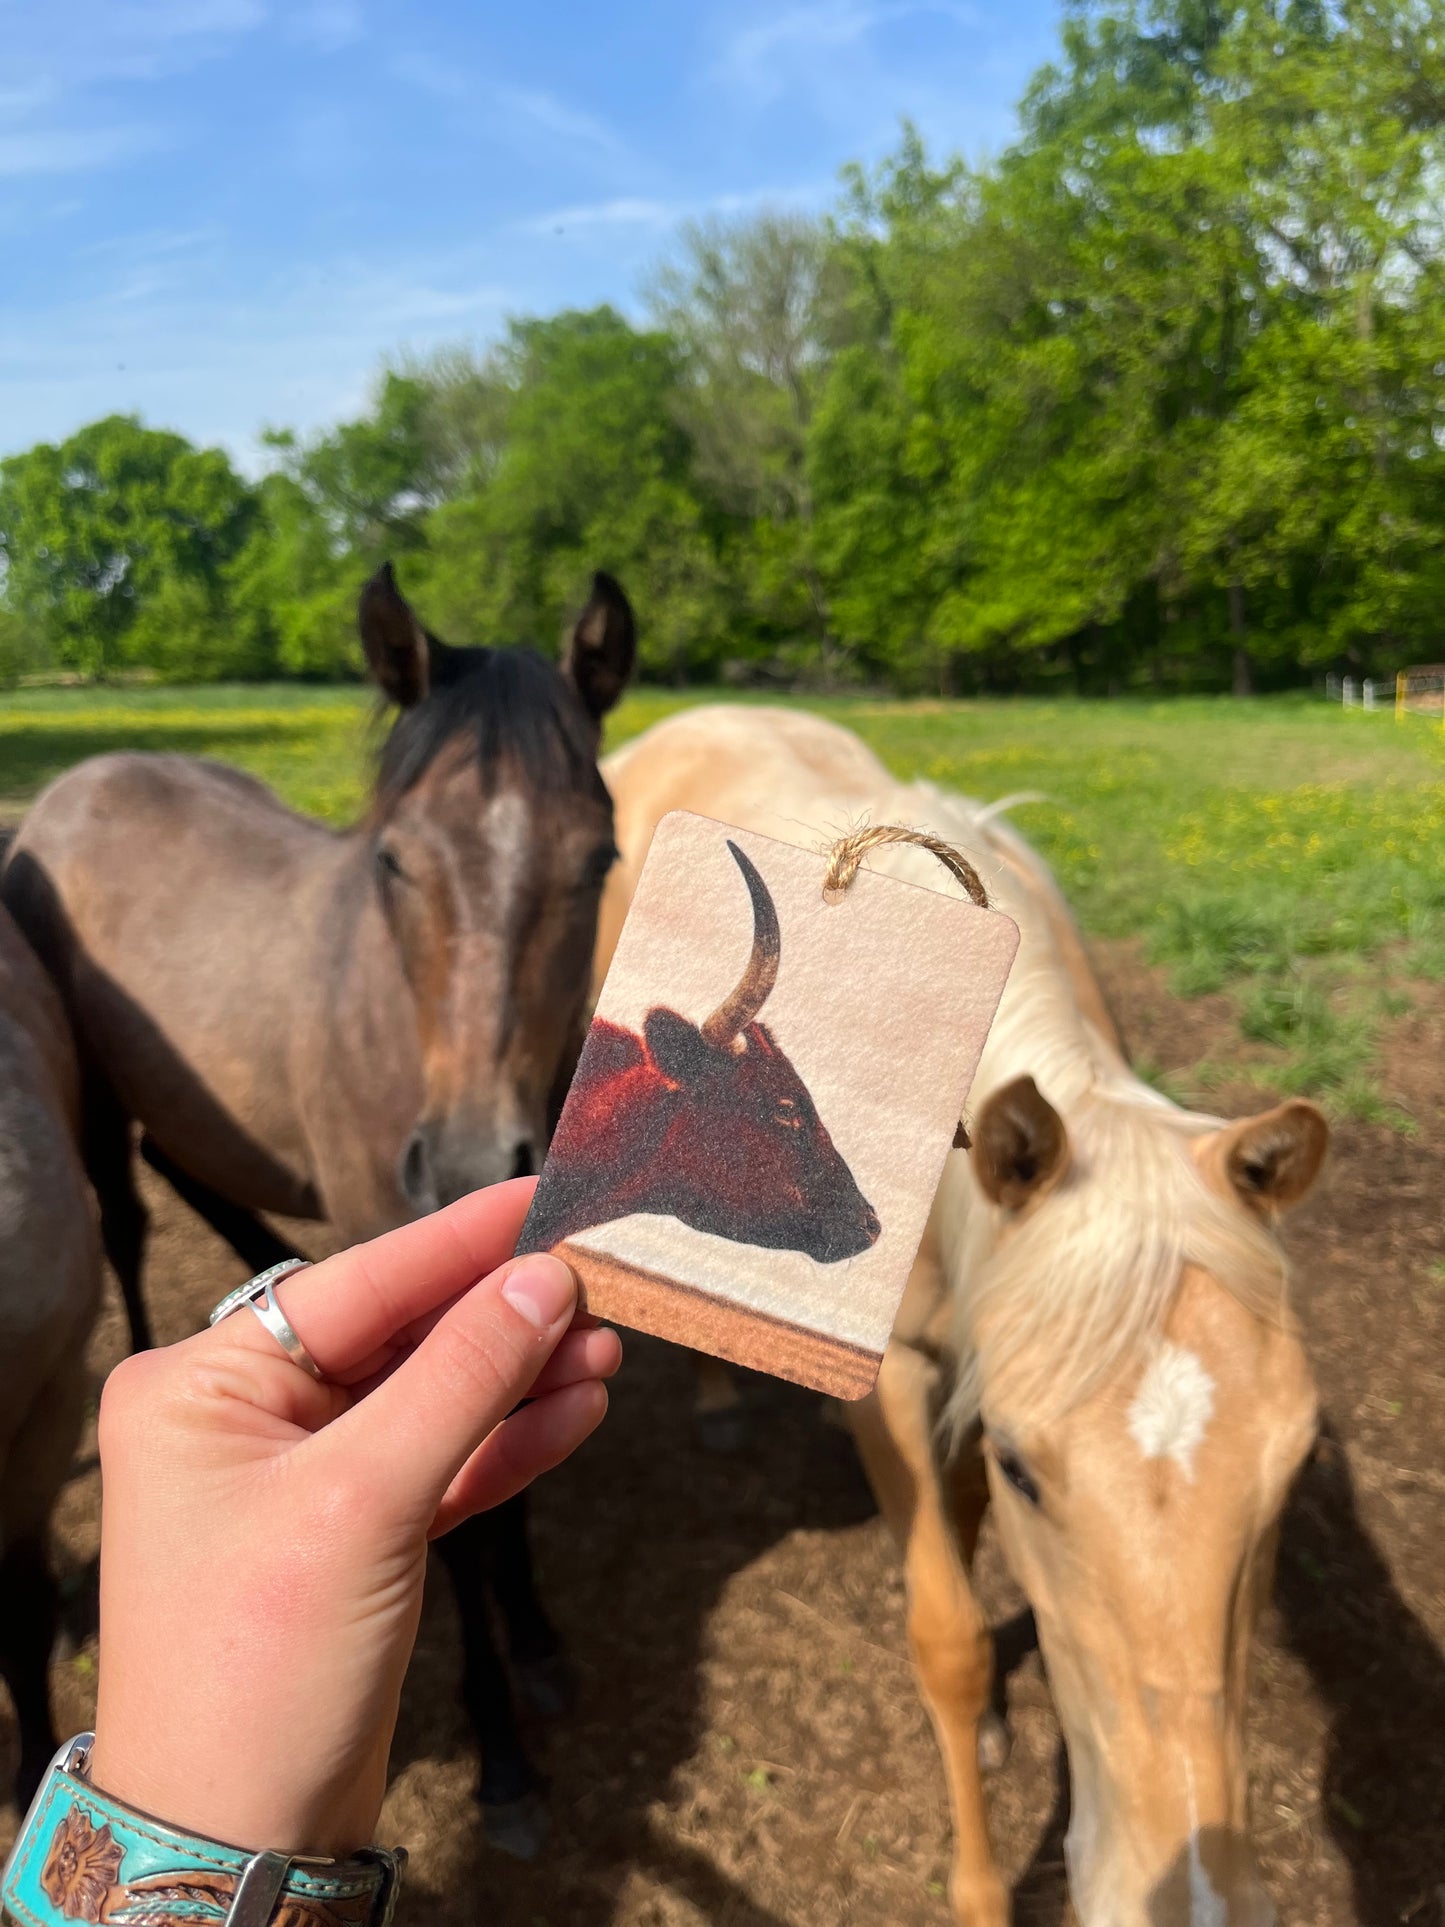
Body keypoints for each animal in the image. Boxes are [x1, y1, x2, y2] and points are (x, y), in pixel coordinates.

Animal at [1, 566, 631, 1849]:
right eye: (392, 861)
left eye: (596, 861)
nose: (468, 1162)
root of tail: (81, 781)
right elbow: (465, 1522)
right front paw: (503, 1752)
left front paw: (540, 1639)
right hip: (91, 1095)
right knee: (130, 1222)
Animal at [593, 701, 1333, 1919]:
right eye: (1035, 1470)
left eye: (1291, 1463)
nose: (1192, 1895)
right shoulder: (890, 1378)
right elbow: (947, 1637)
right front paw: (981, 1883)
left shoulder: (980, 1364)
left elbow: (969, 1522)